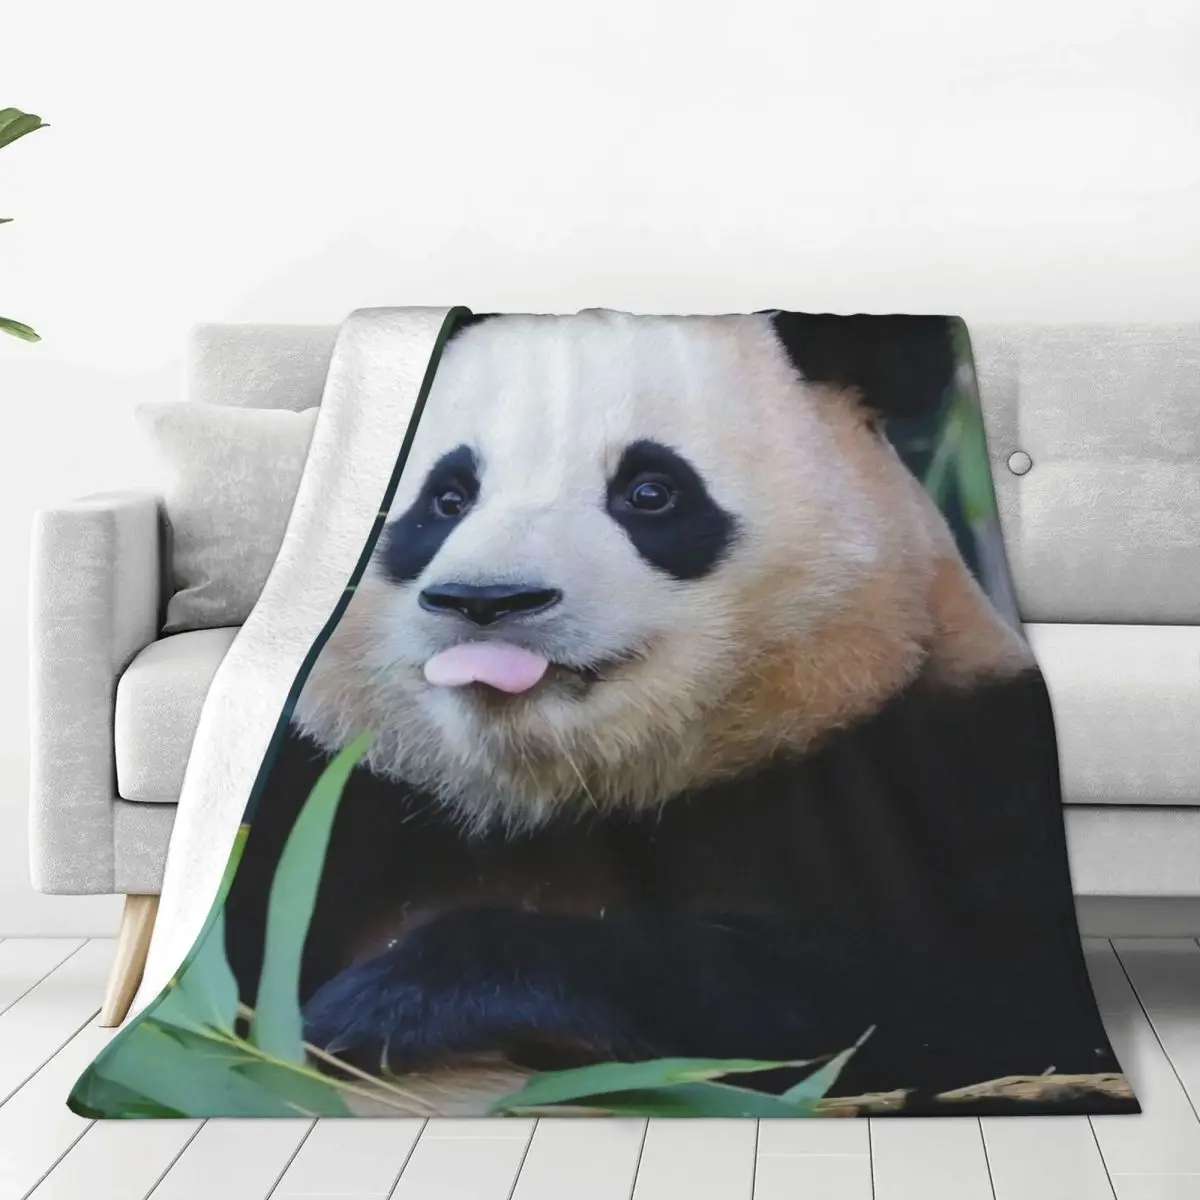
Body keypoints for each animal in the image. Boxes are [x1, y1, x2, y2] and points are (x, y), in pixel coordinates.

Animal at [224, 310, 1119, 1107]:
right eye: (445, 500)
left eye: (650, 492)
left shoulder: (951, 758)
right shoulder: (330, 788)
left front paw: (388, 999)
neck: (553, 790)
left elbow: (992, 1012)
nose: (487, 601)